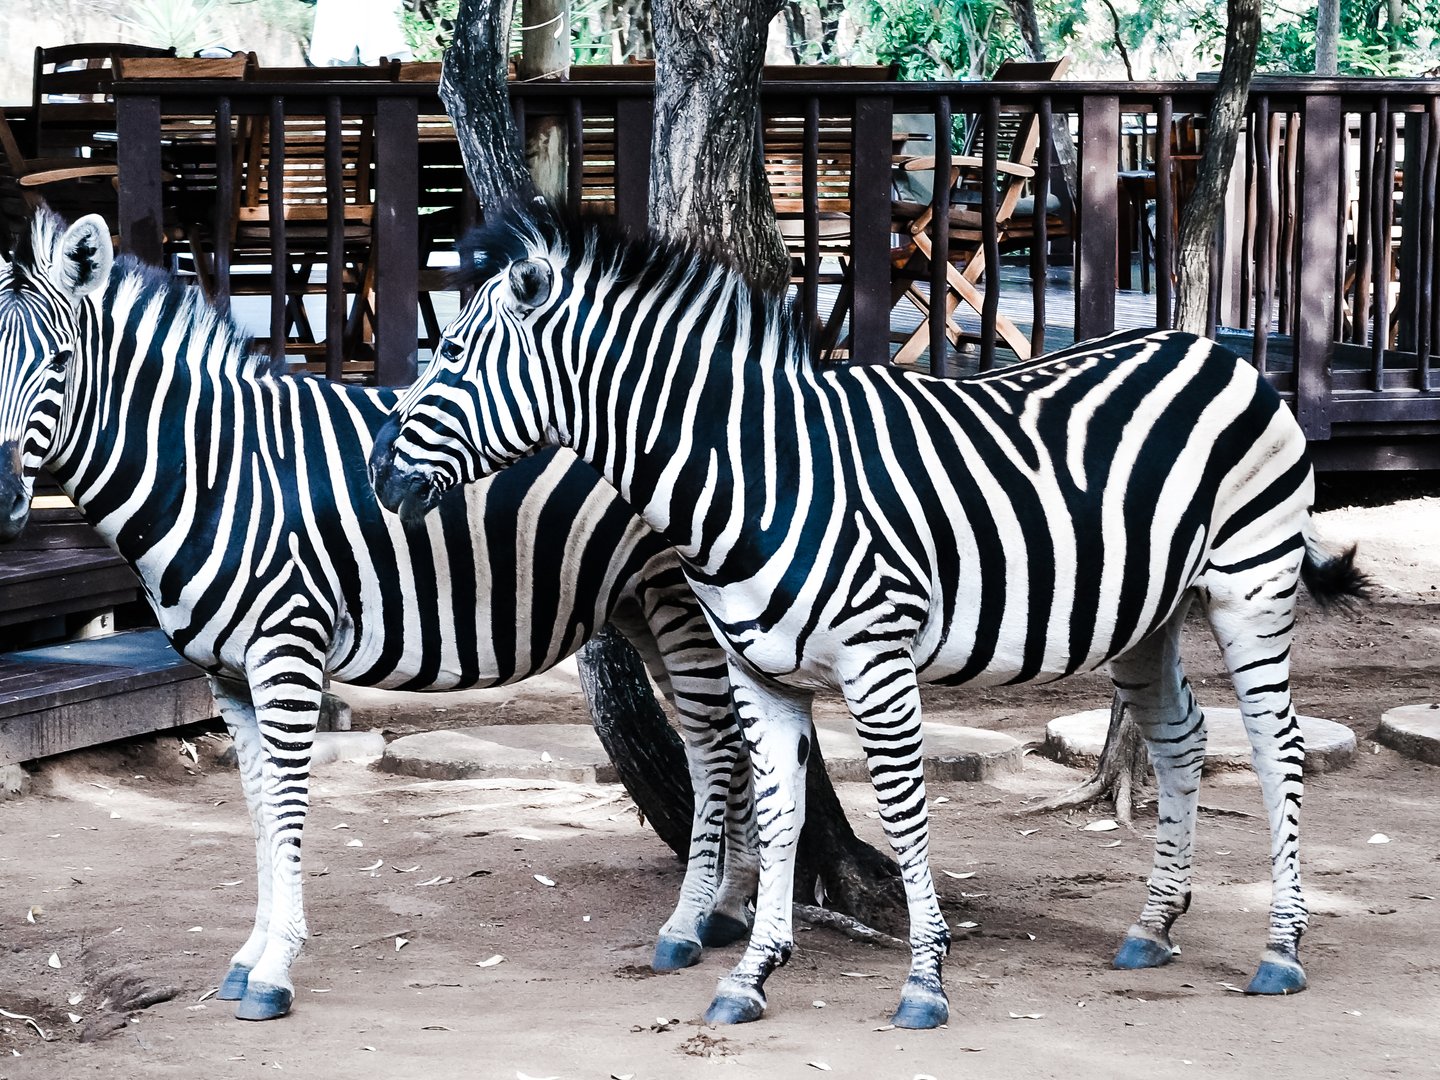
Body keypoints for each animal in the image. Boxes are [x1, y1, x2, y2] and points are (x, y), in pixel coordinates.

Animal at [0, 209, 759, 1022]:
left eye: (58, 362)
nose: (2, 499)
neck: (209, 471)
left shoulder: (287, 650)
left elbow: (288, 808)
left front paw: (274, 970)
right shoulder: (226, 676)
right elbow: (258, 807)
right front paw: (248, 955)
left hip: (681, 600)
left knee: (714, 748)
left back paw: (688, 924)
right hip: (651, 604)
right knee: (734, 743)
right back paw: (729, 910)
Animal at [370, 205, 1369, 1030]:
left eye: (450, 355)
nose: (379, 472)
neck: (756, 479)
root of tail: (1222, 352)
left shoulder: (878, 663)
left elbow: (903, 812)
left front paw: (926, 981)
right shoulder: (760, 673)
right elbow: (777, 816)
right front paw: (750, 976)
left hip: (1250, 585)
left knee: (1277, 747)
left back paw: (1281, 949)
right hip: (1147, 613)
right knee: (1183, 739)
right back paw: (1154, 926)